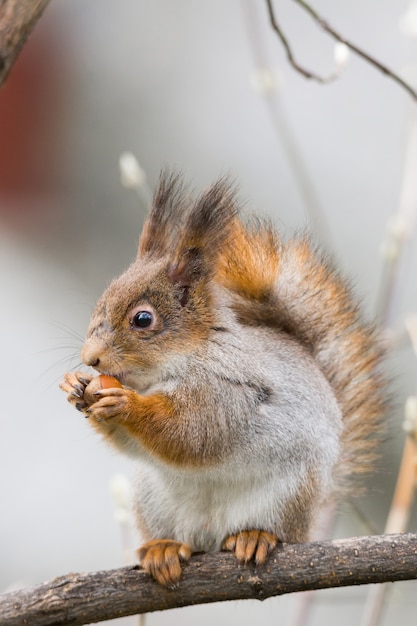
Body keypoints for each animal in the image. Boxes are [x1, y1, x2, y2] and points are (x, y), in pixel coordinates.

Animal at [59, 169, 386, 584]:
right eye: (102, 300)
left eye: (143, 319)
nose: (91, 358)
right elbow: (133, 444)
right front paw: (76, 387)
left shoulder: (226, 390)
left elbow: (192, 432)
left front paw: (125, 404)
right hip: (154, 500)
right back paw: (164, 549)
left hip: (287, 494)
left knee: (277, 530)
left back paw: (256, 537)